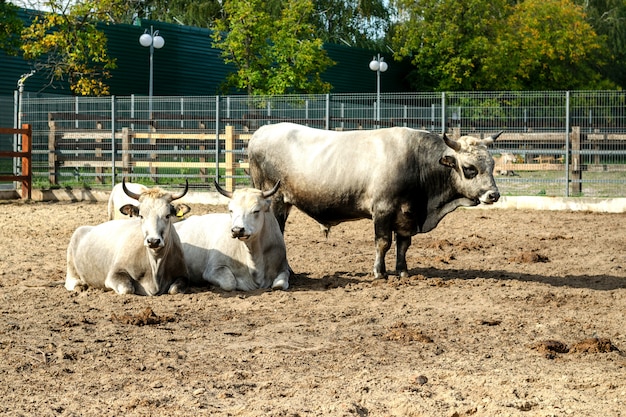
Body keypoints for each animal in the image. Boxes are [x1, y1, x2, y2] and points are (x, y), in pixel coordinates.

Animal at [246, 123, 500, 280]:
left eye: (492, 164)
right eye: (470, 168)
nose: (493, 195)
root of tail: (262, 132)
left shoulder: (406, 215)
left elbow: (403, 245)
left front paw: (402, 272)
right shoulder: (383, 210)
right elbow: (383, 243)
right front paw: (379, 272)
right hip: (276, 200)